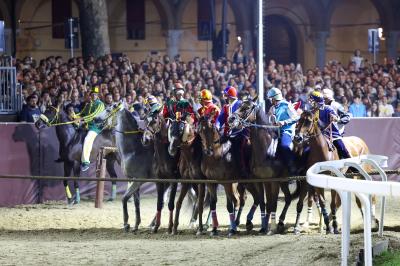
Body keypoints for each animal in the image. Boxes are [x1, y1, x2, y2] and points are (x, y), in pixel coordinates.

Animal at [228, 98, 304, 234]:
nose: (231, 118)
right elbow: (264, 203)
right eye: (240, 105)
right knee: (288, 198)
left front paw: (270, 228)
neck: (267, 150)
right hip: (283, 182)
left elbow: (272, 203)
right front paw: (264, 227)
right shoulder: (261, 180)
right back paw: (280, 222)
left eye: (247, 107)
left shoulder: (274, 181)